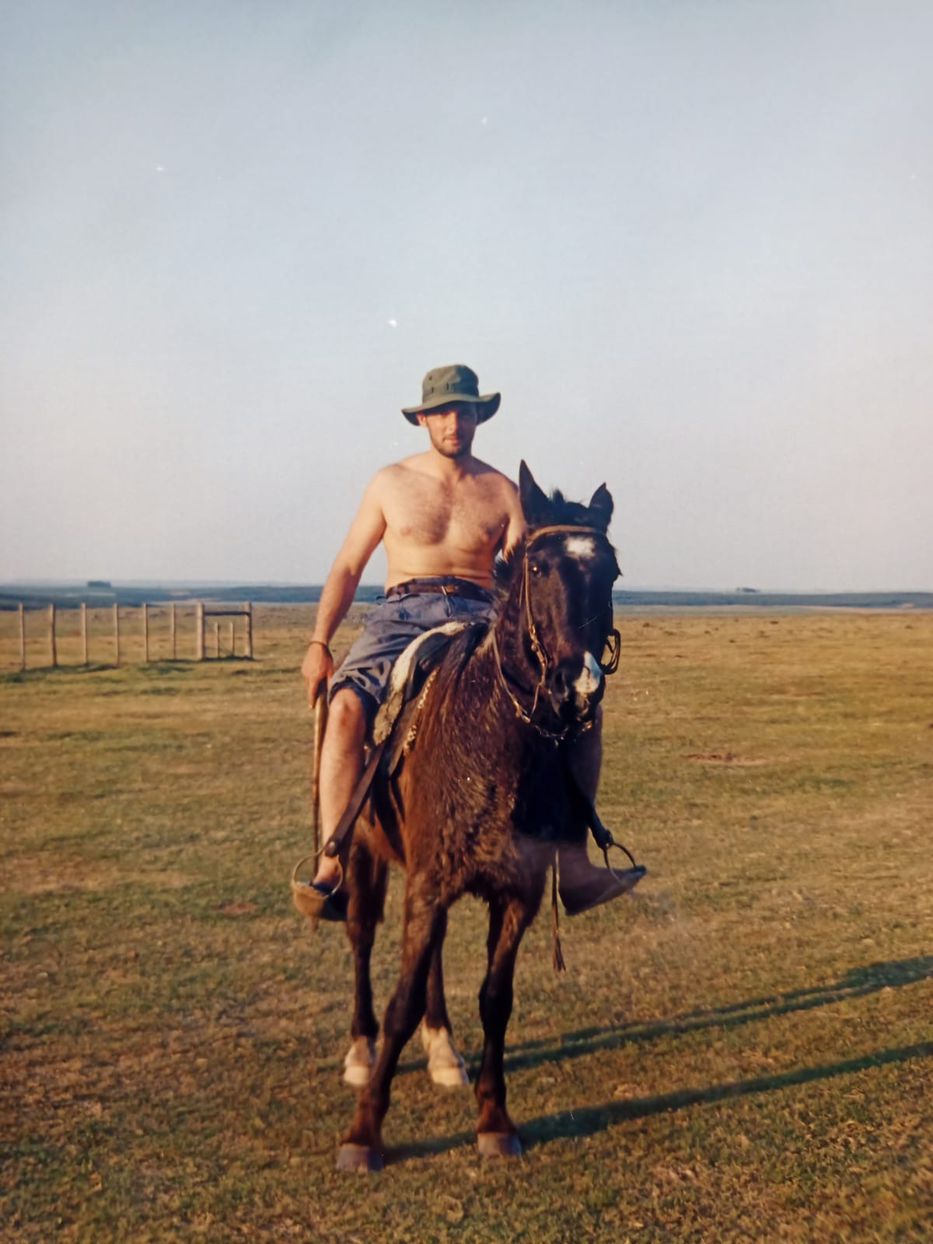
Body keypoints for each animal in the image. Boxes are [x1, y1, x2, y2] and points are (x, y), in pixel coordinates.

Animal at [338, 462, 629, 1169]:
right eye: (539, 567)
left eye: (610, 571)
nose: (579, 685)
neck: (496, 742)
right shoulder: (427, 883)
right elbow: (400, 1001)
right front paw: (365, 1132)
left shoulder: (517, 890)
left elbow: (496, 1000)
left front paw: (495, 1119)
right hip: (364, 853)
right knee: (360, 937)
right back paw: (360, 1052)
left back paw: (444, 1050)